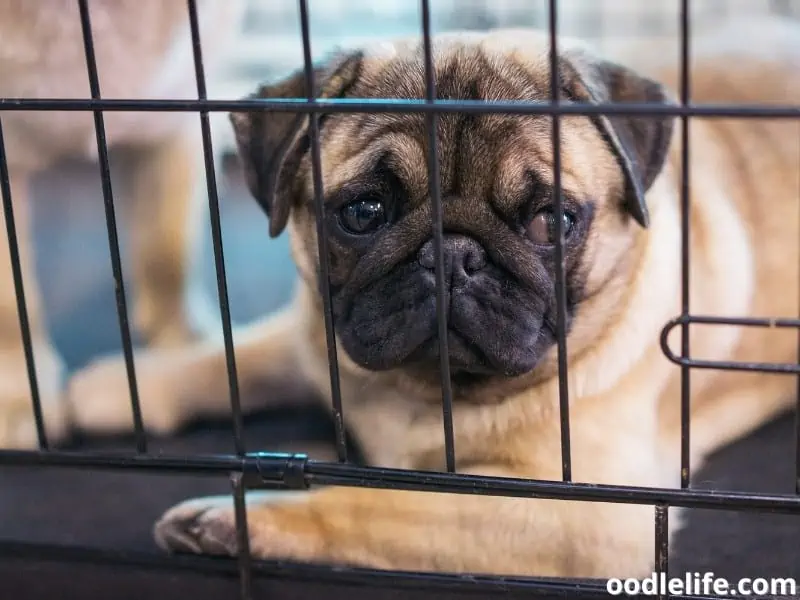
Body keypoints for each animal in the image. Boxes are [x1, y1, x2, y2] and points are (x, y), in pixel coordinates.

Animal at [69, 17, 800, 580]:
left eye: (552, 221)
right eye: (363, 213)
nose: (453, 255)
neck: (431, 394)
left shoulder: (586, 516)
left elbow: (378, 506)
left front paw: (240, 519)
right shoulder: (314, 334)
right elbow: (233, 356)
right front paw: (121, 388)